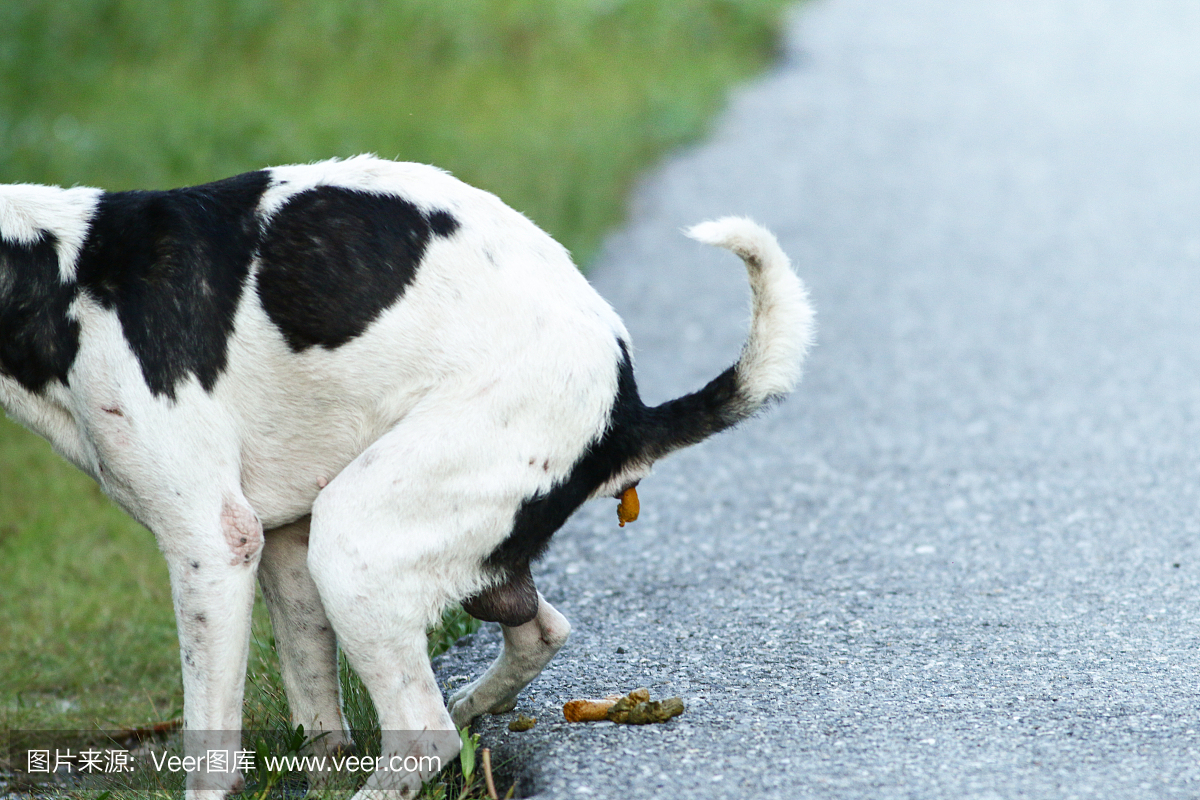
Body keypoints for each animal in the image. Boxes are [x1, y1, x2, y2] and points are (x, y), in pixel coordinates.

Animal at [0, 154, 816, 796]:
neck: (59, 273)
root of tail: (626, 404)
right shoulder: (277, 546)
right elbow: (317, 712)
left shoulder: (211, 542)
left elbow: (210, 744)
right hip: (410, 555)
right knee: (535, 635)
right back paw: (474, 705)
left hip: (353, 543)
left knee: (425, 734)